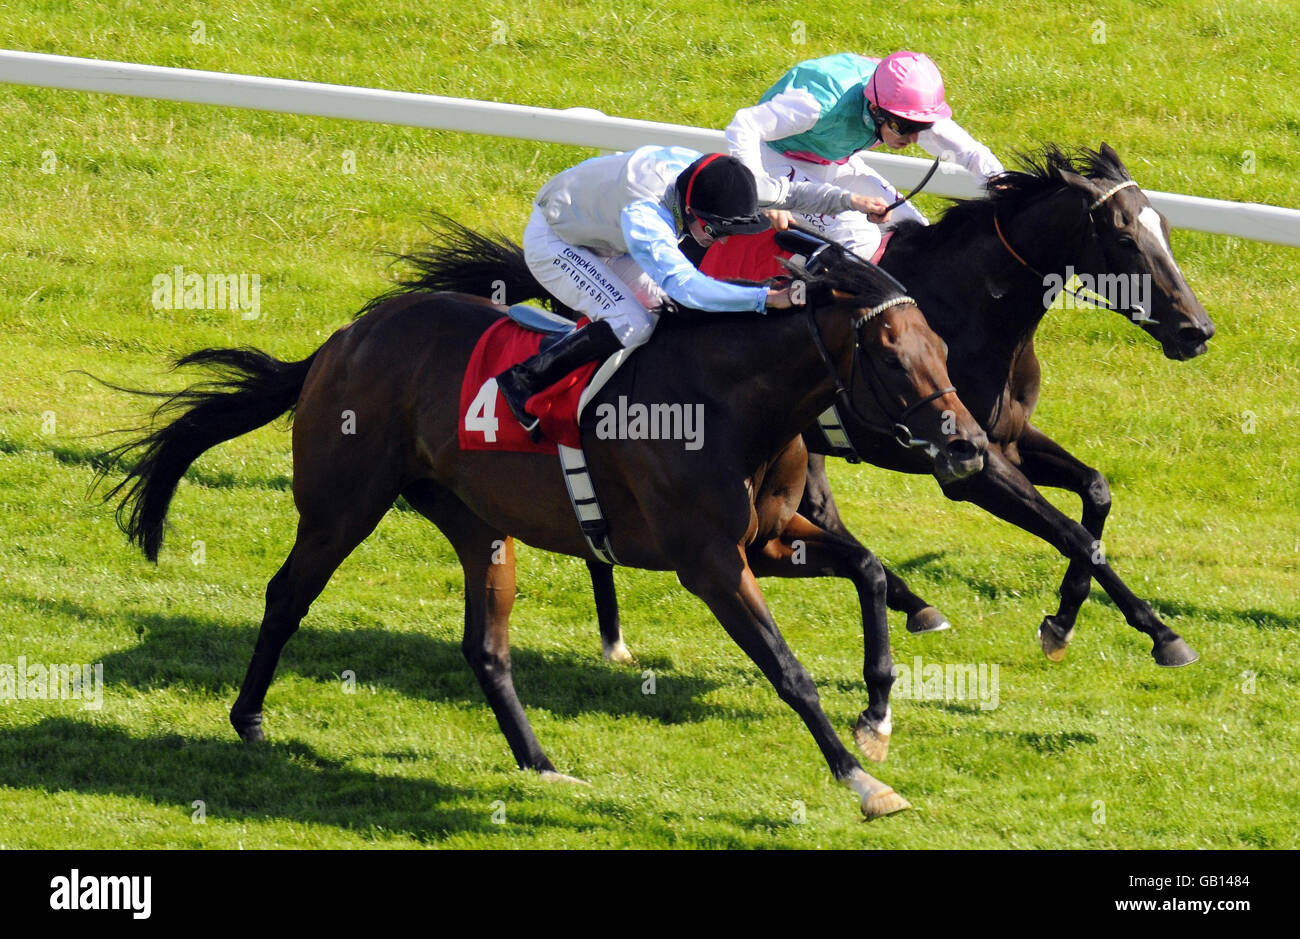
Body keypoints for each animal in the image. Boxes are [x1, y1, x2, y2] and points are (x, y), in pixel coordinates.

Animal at [98, 230, 982, 816]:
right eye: (893, 355)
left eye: (943, 348)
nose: (968, 445)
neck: (729, 400)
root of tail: (342, 338)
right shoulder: (708, 561)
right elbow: (787, 668)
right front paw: (863, 780)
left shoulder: (765, 540)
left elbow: (868, 569)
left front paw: (876, 717)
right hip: (343, 502)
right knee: (287, 594)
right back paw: (248, 717)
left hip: (478, 522)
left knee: (485, 647)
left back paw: (541, 762)